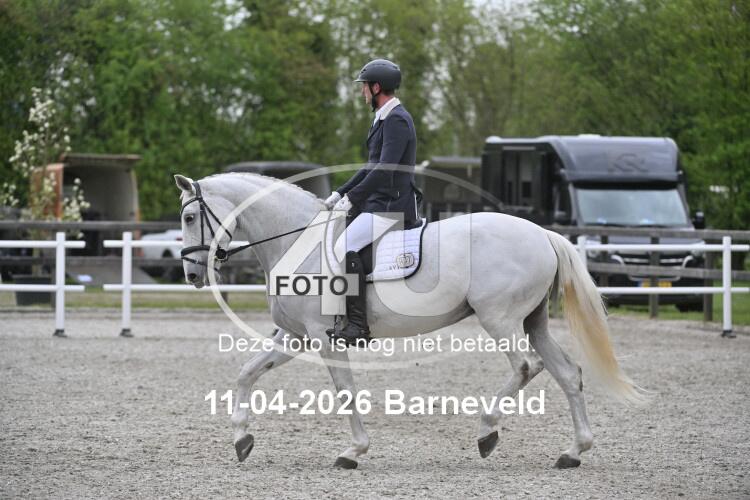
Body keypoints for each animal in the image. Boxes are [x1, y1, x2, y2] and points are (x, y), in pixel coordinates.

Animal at [174, 171, 643, 470]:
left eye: (189, 217)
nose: (192, 275)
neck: (297, 241)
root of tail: (542, 233)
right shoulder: (294, 337)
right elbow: (245, 373)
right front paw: (241, 439)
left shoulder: (323, 339)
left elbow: (345, 392)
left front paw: (353, 452)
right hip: (534, 321)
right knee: (567, 373)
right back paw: (573, 452)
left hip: (500, 318)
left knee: (528, 367)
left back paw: (487, 432)